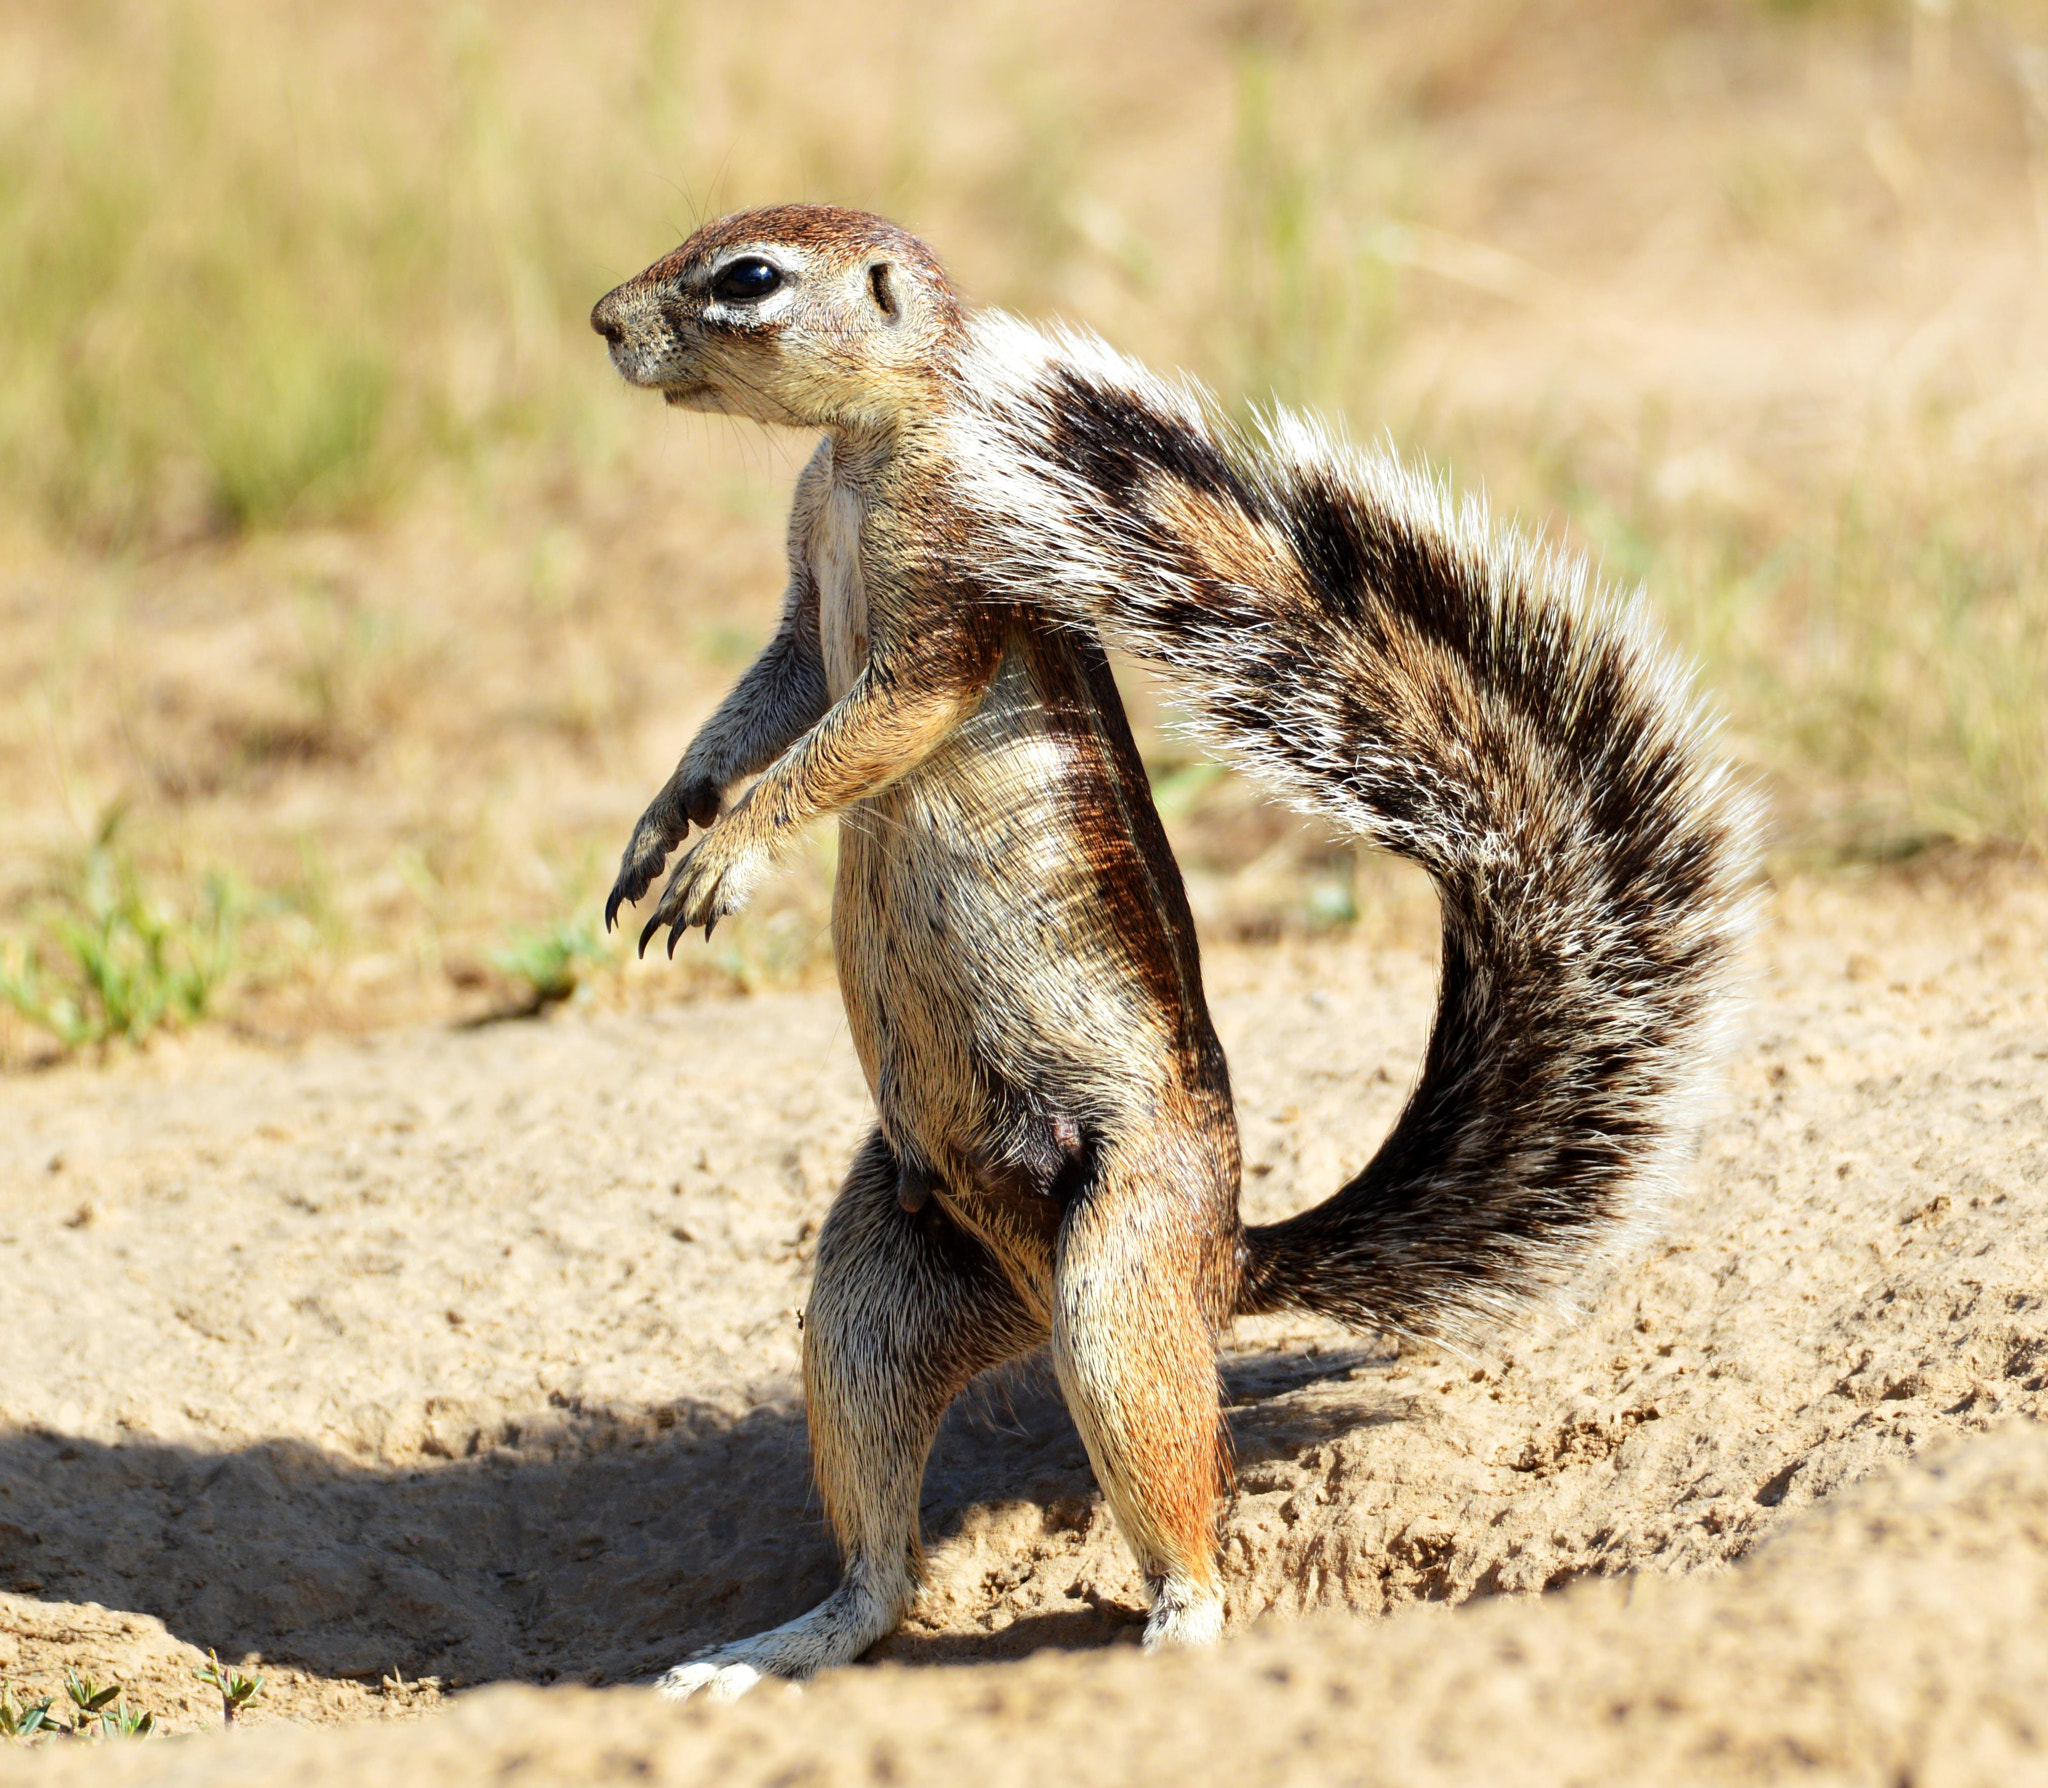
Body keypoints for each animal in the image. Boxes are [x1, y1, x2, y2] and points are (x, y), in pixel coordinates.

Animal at [589, 204, 1758, 1700]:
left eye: (748, 278)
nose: (603, 324)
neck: (861, 454)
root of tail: (1227, 1264)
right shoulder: (804, 589)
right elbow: (762, 700)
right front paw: (664, 819)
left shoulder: (952, 584)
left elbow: (867, 726)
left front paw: (727, 851)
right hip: (866, 1295)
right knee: (883, 1569)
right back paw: (776, 1647)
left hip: (1120, 1269)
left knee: (1169, 1489)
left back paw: (1175, 1623)